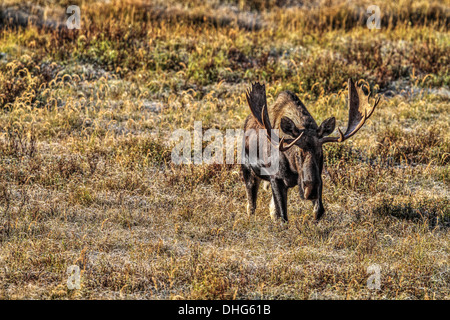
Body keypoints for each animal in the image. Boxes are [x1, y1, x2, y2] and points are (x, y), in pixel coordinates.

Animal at [243, 79, 380, 221]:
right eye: (297, 153)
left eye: (320, 154)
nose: (311, 191)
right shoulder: (276, 179)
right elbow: (283, 216)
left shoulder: (318, 179)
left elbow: (318, 211)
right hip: (248, 171)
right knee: (251, 206)